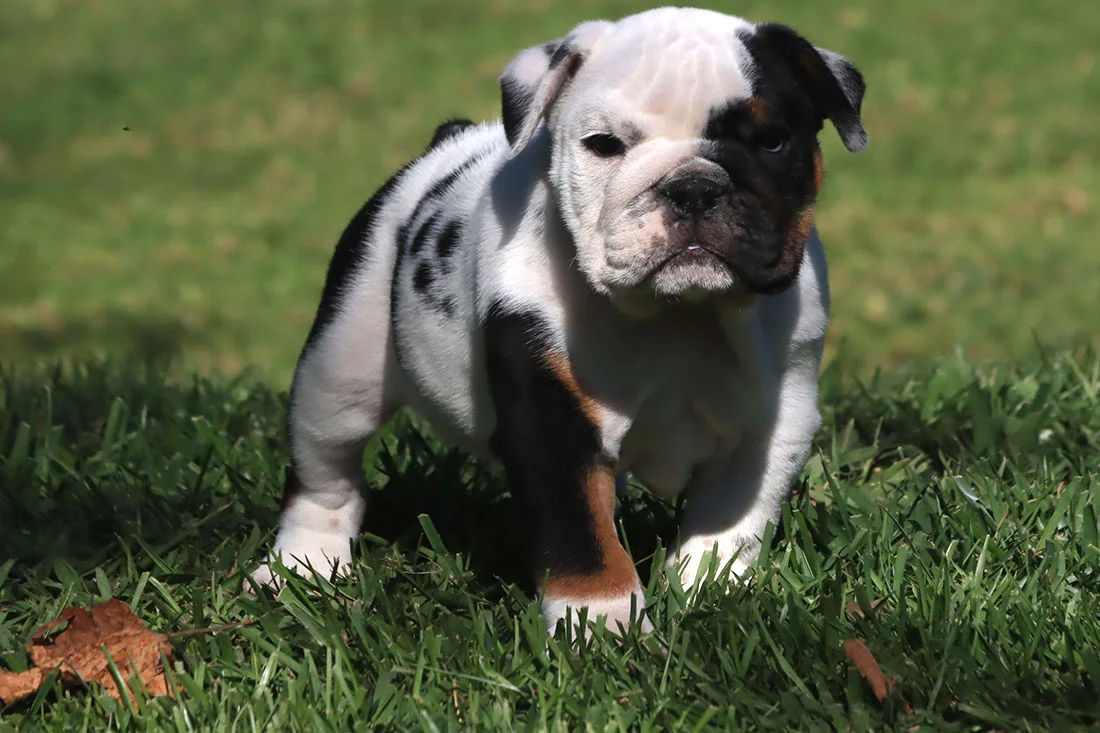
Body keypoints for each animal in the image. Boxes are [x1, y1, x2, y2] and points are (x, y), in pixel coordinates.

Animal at [249, 5, 866, 633]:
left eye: (773, 141)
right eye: (603, 145)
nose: (694, 187)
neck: (680, 312)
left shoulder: (775, 422)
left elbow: (734, 516)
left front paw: (707, 586)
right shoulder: (551, 417)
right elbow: (580, 530)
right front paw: (602, 622)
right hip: (343, 364)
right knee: (325, 468)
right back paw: (302, 567)